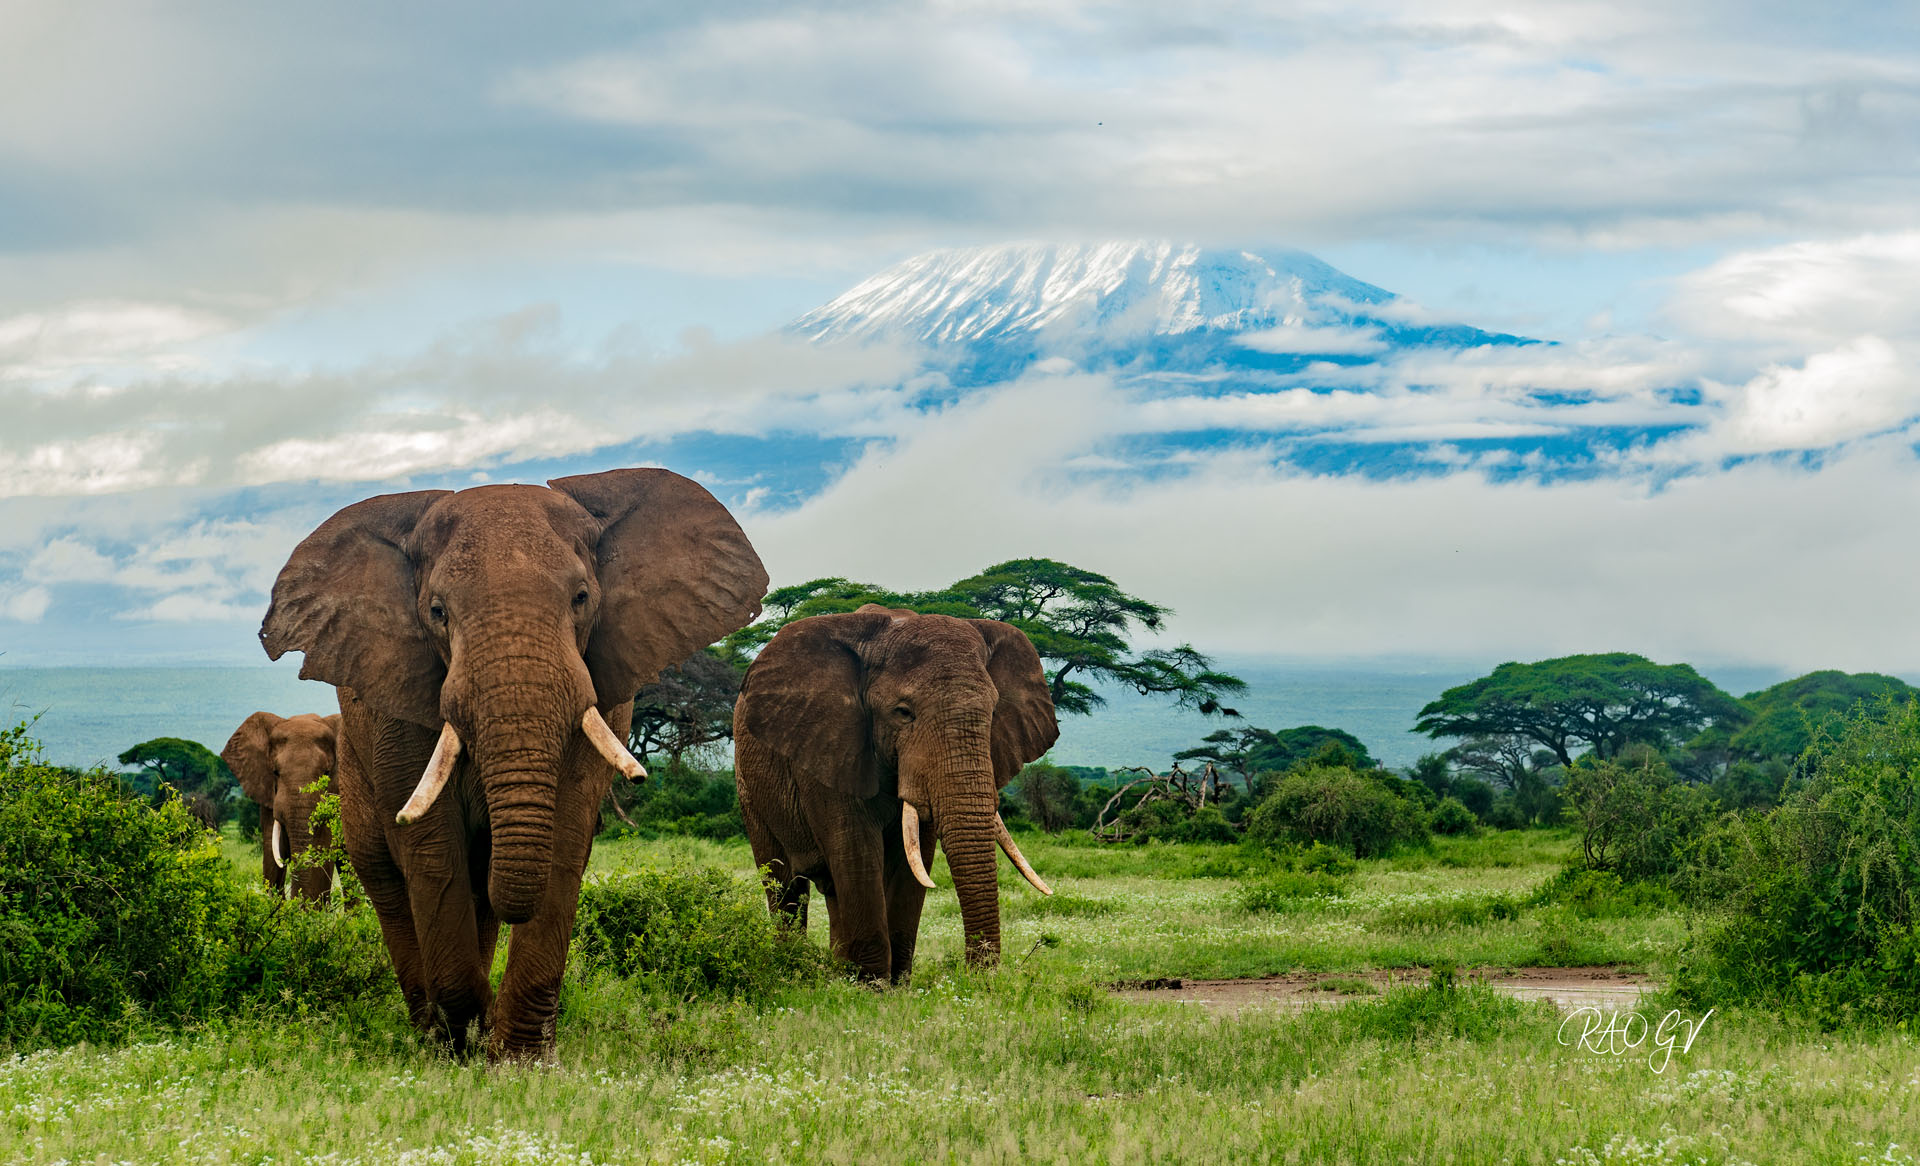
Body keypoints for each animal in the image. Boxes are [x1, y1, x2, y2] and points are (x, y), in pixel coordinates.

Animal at [258, 467, 767, 1061]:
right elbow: (431, 847)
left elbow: (566, 833)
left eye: (582, 598)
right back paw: (431, 1032)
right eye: (437, 612)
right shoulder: (398, 701)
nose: (484, 1021)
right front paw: (466, 1038)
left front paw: (518, 1055)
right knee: (388, 879)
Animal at [733, 604, 1060, 982]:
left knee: (831, 889)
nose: (978, 976)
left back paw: (838, 970)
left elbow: (914, 858)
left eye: (993, 711)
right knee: (785, 885)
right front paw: (871, 985)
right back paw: (794, 966)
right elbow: (856, 848)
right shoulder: (827, 749)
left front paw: (896, 983)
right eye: (903, 713)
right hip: (749, 787)